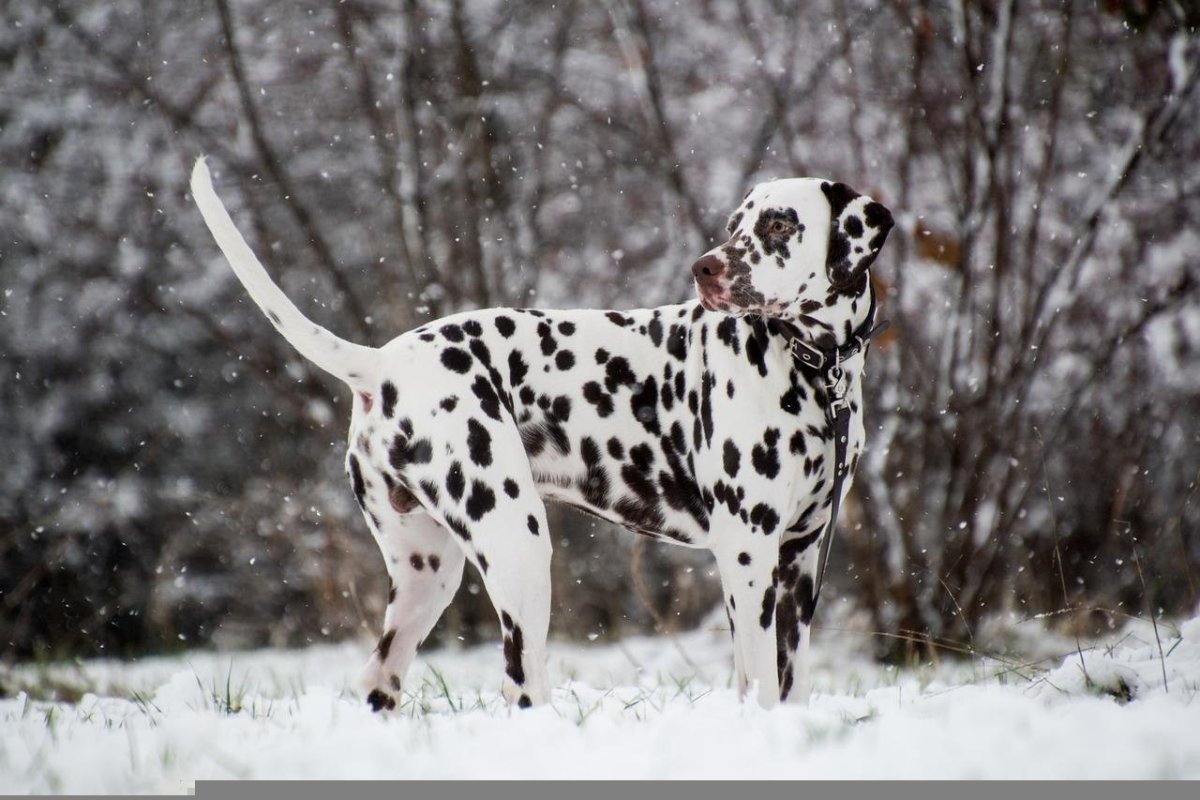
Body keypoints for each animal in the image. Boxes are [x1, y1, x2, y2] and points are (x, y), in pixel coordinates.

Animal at [189, 159, 892, 710]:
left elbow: (787, 682)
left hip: (427, 577)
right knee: (521, 685)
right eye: (733, 227)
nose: (705, 268)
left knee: (378, 680)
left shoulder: (799, 561)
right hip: (519, 548)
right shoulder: (747, 553)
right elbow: (760, 682)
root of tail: (383, 362)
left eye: (778, 224)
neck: (813, 365)